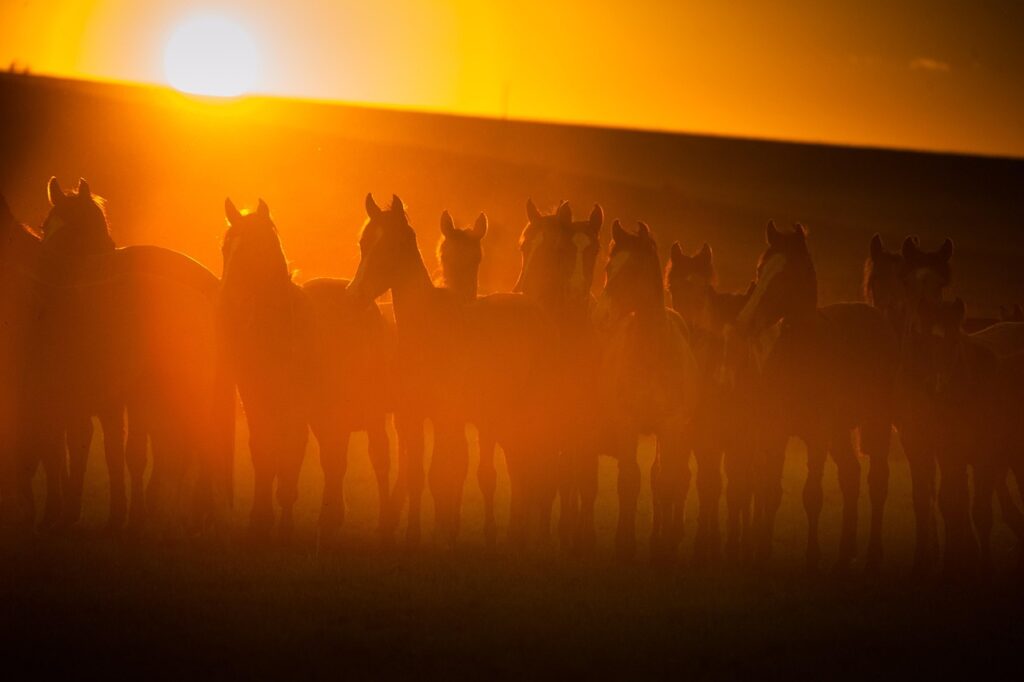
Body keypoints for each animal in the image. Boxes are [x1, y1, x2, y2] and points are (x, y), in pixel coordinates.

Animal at [219, 198, 391, 546]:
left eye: (254, 250)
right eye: (225, 249)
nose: (227, 306)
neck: (281, 335)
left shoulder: (295, 411)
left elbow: (290, 459)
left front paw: (284, 527)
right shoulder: (257, 406)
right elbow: (262, 454)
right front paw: (259, 522)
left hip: (370, 410)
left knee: (377, 459)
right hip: (329, 414)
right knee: (334, 459)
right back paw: (330, 520)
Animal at [348, 194, 560, 548]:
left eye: (393, 244)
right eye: (364, 243)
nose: (355, 295)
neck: (428, 333)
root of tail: (536, 310)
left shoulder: (447, 416)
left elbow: (442, 474)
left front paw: (441, 535)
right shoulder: (411, 417)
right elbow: (416, 475)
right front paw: (414, 534)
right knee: (519, 466)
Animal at [593, 220, 699, 561]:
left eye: (633, 270)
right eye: (609, 267)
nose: (602, 315)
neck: (652, 352)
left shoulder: (671, 426)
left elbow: (665, 482)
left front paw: (663, 547)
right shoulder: (626, 423)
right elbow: (630, 480)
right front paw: (624, 543)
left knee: (669, 477)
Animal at [666, 241, 757, 565]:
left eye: (703, 289)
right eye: (673, 287)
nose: (690, 334)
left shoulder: (734, 440)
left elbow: (729, 487)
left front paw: (723, 545)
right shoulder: (696, 437)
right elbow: (694, 482)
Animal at [735, 221, 898, 573]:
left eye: (785, 275)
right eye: (760, 270)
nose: (745, 324)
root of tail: (874, 315)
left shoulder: (817, 437)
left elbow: (812, 494)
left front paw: (812, 556)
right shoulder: (776, 433)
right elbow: (771, 490)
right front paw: (763, 553)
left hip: (874, 423)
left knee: (877, 481)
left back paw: (873, 554)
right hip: (839, 433)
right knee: (851, 475)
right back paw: (844, 552)